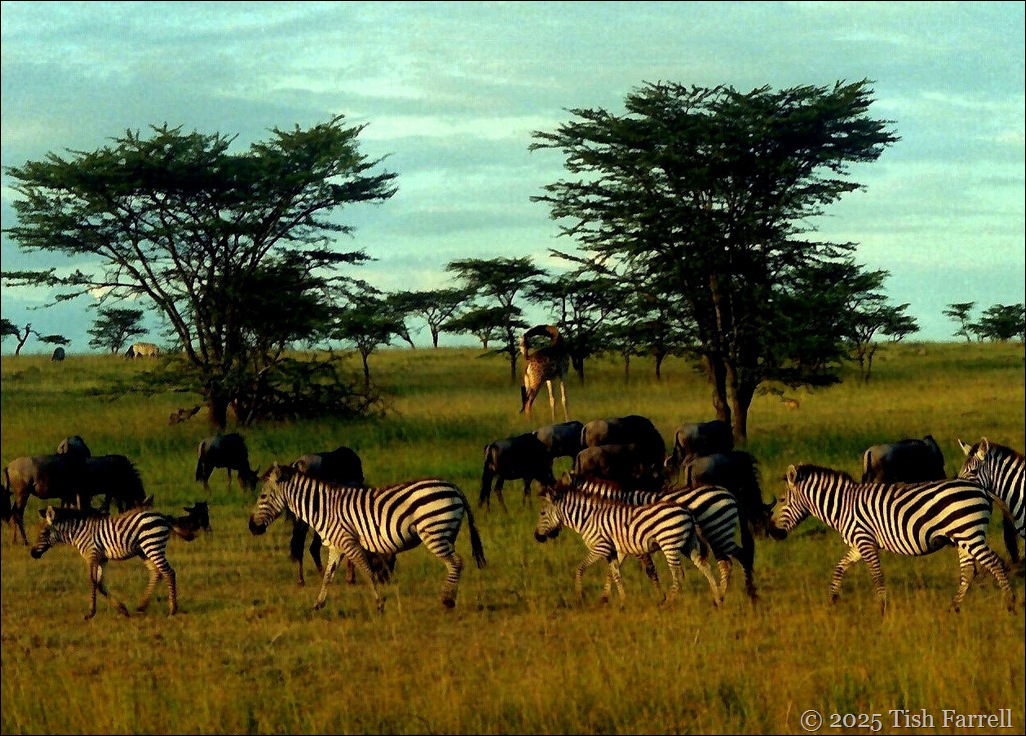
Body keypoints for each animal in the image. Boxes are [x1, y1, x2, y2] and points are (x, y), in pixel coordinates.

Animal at [30, 504, 202, 619]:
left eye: (43, 533)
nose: (32, 553)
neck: (79, 533)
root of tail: (162, 516)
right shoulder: (102, 558)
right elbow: (100, 583)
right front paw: (122, 609)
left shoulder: (92, 555)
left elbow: (92, 581)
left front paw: (90, 613)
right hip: (144, 550)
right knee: (156, 573)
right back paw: (142, 605)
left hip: (152, 544)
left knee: (168, 572)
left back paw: (173, 609)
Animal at [248, 463, 486, 612]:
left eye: (263, 496)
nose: (252, 527)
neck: (323, 508)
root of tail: (454, 487)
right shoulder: (336, 545)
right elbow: (328, 576)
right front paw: (318, 604)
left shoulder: (348, 542)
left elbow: (367, 570)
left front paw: (380, 603)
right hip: (446, 533)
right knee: (453, 565)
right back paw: (450, 597)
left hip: (435, 532)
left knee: (456, 562)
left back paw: (447, 601)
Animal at [533, 484, 722, 607]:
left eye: (542, 513)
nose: (536, 537)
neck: (588, 518)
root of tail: (687, 511)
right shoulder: (611, 551)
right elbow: (616, 574)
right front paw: (623, 601)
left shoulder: (600, 547)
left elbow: (580, 568)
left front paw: (579, 596)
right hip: (688, 544)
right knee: (705, 567)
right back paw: (718, 599)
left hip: (669, 544)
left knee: (678, 573)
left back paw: (669, 601)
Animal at [562, 474, 758, 603]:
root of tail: (729, 493)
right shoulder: (623, 544)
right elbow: (613, 570)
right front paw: (605, 597)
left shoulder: (634, 543)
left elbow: (650, 570)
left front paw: (661, 597)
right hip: (717, 535)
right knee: (727, 563)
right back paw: (722, 596)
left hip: (719, 531)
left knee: (741, 557)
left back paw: (749, 593)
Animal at [770, 464, 1015, 615]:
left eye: (781, 500)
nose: (772, 533)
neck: (842, 506)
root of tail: (981, 488)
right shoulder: (857, 545)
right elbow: (839, 569)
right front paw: (832, 601)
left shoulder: (865, 541)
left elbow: (877, 576)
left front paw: (882, 610)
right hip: (962, 537)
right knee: (968, 571)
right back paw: (953, 608)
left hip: (969, 533)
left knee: (995, 563)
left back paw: (1010, 604)